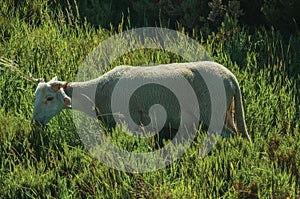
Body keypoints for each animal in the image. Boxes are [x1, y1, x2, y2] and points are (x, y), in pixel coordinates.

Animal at [31, 61, 251, 141]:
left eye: (49, 98)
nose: (35, 122)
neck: (98, 90)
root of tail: (231, 78)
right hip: (227, 112)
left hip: (214, 112)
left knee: (229, 135)